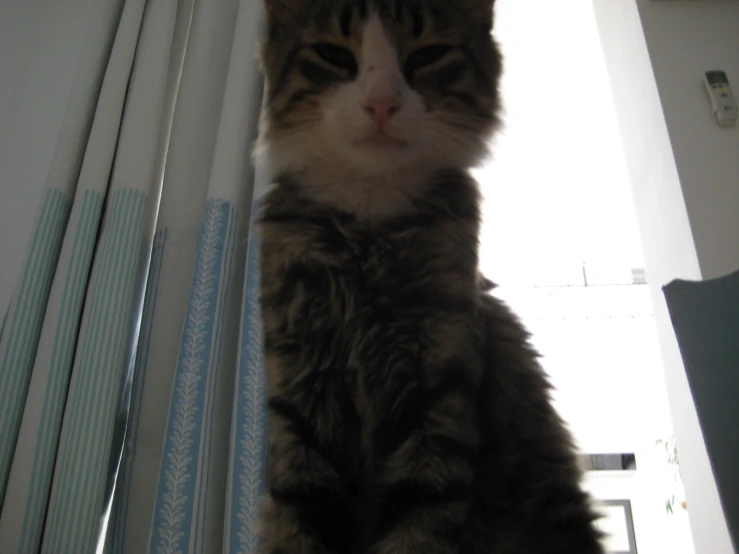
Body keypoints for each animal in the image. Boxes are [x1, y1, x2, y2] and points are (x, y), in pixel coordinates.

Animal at [258, 1, 604, 552]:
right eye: (334, 54)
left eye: (427, 55)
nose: (381, 103)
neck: (369, 226)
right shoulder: (300, 399)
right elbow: (298, 520)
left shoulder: (437, 389)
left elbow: (419, 521)